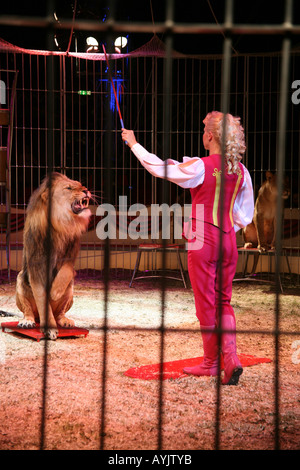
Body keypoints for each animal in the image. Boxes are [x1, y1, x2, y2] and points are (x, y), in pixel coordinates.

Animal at [15, 171, 91, 340]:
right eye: (69, 188)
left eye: (81, 184)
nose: (86, 190)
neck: (61, 225)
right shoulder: (36, 267)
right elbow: (42, 298)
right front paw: (50, 329)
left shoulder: (70, 255)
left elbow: (66, 271)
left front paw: (54, 292)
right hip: (20, 279)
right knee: (28, 312)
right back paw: (27, 322)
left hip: (70, 290)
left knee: (59, 313)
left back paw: (65, 321)